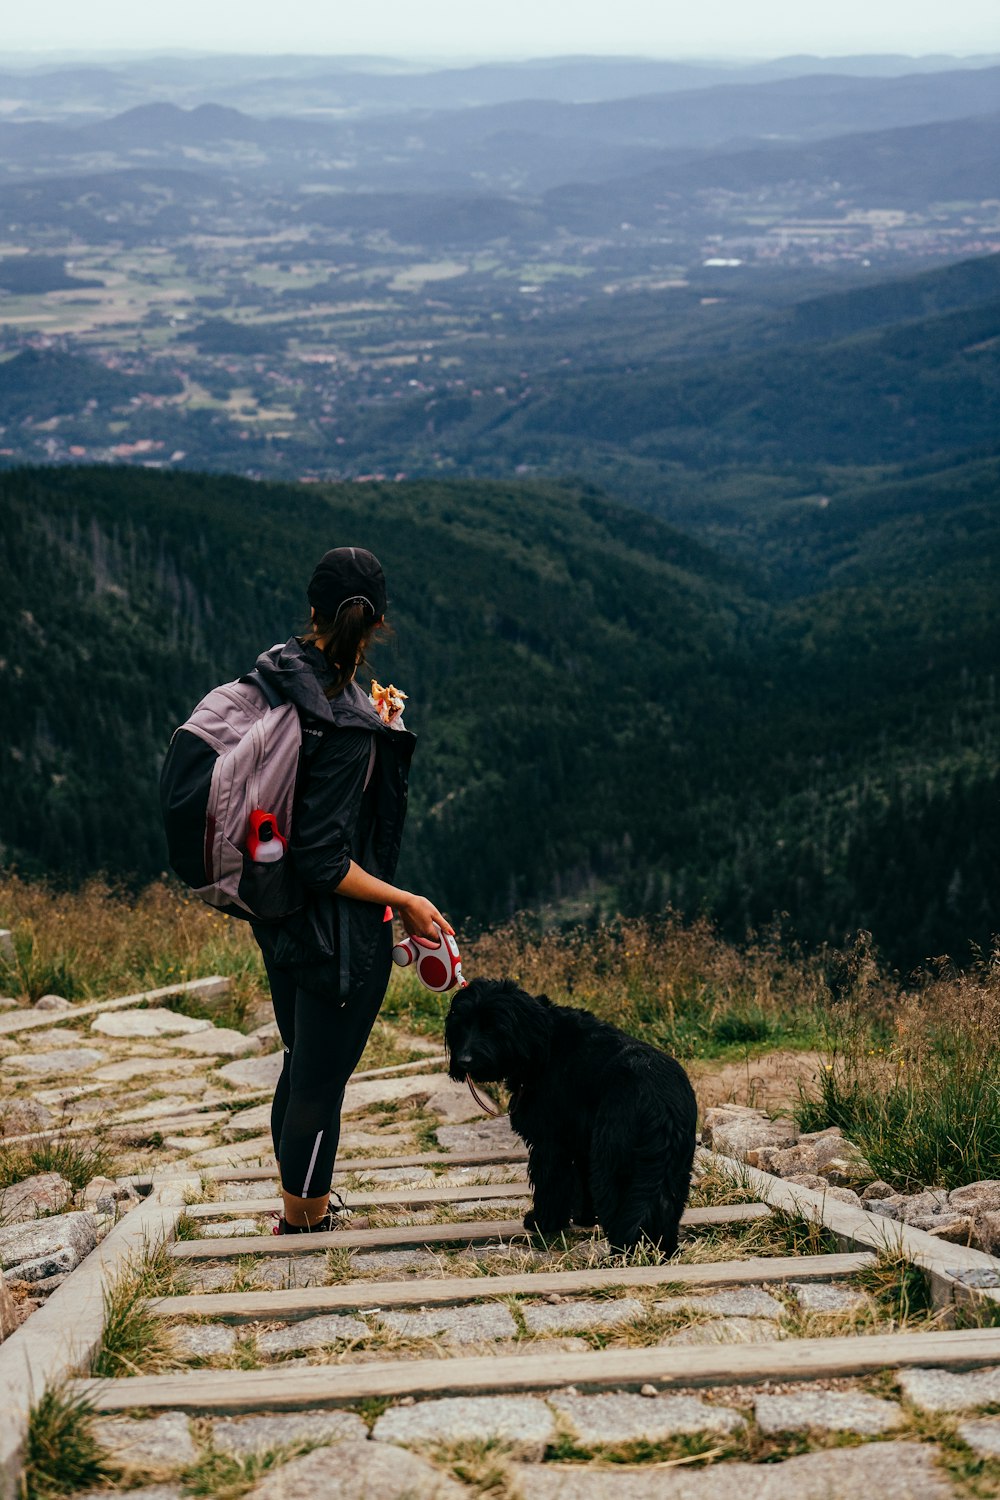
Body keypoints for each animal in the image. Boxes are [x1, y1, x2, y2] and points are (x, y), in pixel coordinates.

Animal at [446, 972, 695, 1254]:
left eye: (492, 1027)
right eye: (460, 1025)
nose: (464, 1061)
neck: (542, 1040)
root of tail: (660, 1102)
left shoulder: (551, 1143)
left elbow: (550, 1183)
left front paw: (543, 1222)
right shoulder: (582, 1142)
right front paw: (584, 1218)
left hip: (615, 1161)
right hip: (670, 1167)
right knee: (661, 1205)